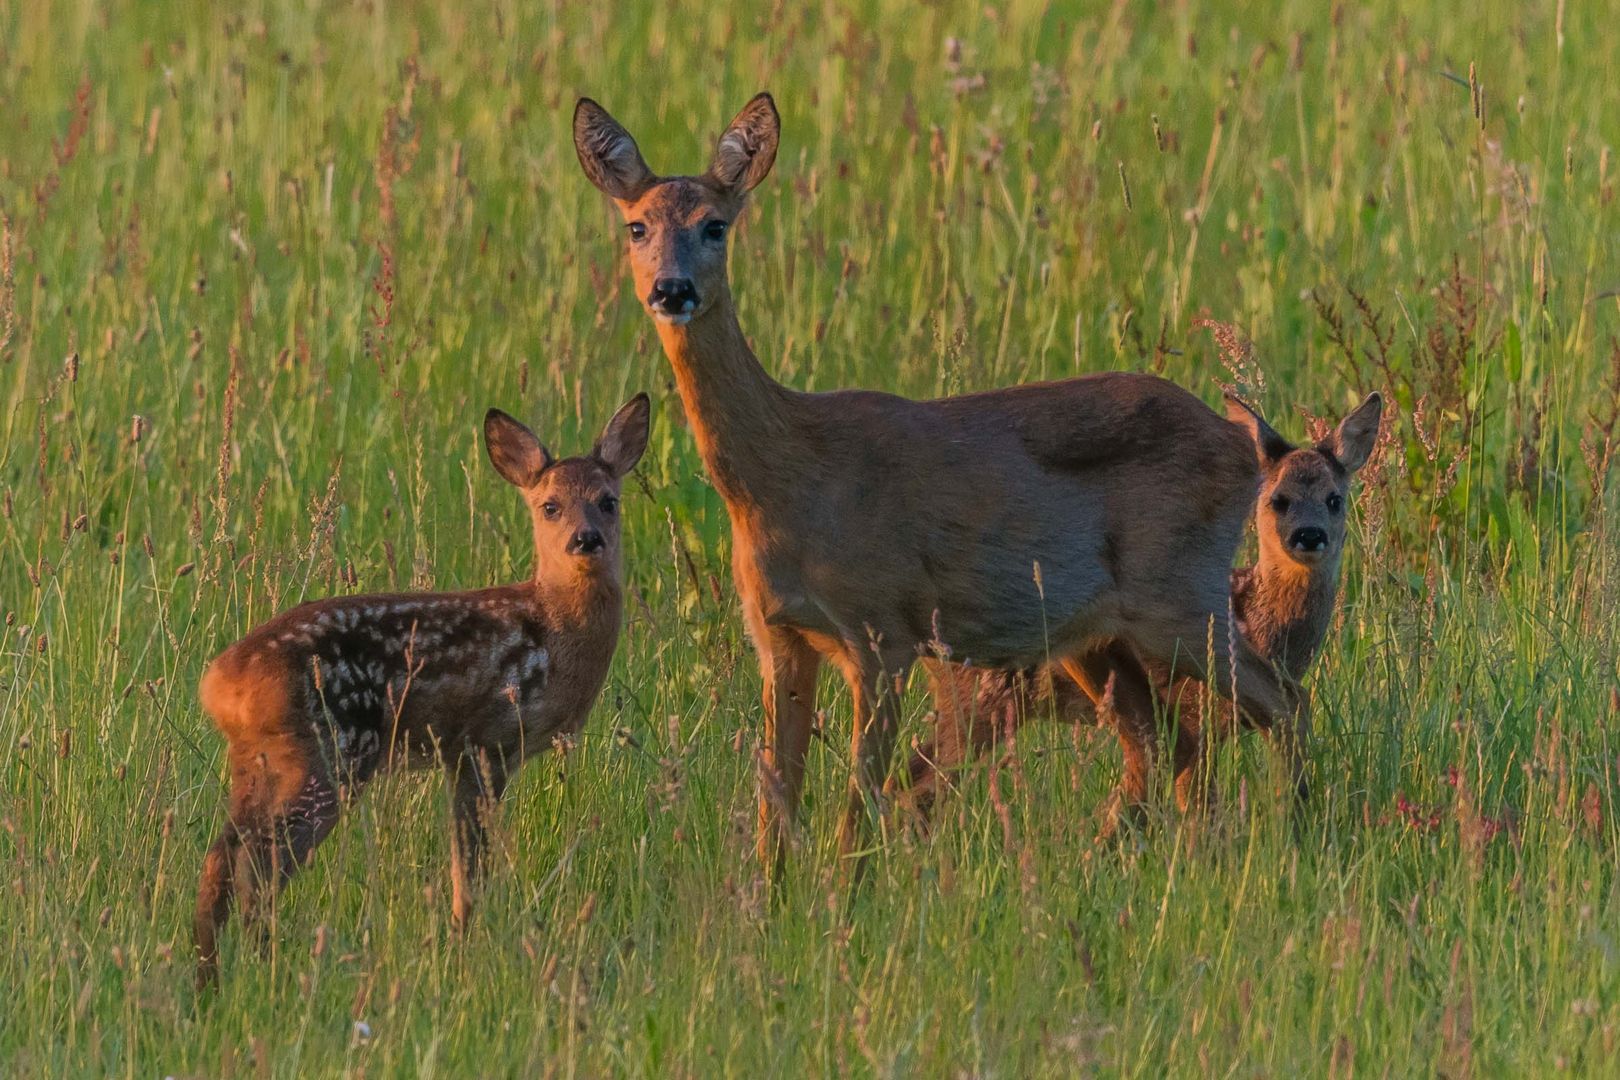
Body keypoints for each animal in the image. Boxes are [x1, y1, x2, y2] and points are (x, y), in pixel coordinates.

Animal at [199, 396, 654, 990]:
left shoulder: (460, 755)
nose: (586, 539)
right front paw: (465, 950)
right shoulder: (487, 741)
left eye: (608, 501)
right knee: (261, 868)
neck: (553, 632)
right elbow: (471, 866)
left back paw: (209, 979)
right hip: (331, 753)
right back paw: (264, 968)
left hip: (258, 762)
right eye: (550, 506)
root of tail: (221, 683)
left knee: (222, 859)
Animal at [570, 93, 1302, 880]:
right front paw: (772, 899)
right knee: (1168, 742)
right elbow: (776, 805)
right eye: (636, 225)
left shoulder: (883, 631)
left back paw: (1304, 831)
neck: (788, 479)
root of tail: (1241, 444)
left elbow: (857, 803)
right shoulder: (779, 636)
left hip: (1178, 594)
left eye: (716, 224)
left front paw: (845, 895)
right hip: (1095, 634)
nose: (671, 289)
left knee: (1280, 698)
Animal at [900, 393, 1380, 822]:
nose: (1309, 536)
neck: (1260, 621)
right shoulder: (1192, 709)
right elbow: (1194, 797)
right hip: (982, 698)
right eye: (1277, 500)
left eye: (1334, 499)